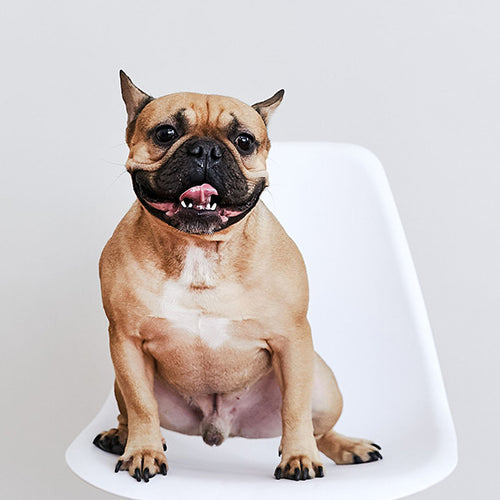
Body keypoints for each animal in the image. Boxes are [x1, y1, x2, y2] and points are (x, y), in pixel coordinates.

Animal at [93, 71, 382, 482]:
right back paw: (122, 436)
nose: (205, 150)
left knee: (318, 428)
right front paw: (143, 451)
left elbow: (295, 407)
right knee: (128, 411)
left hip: (326, 387)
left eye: (244, 141)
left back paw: (345, 447)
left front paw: (298, 457)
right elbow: (141, 404)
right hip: (120, 381)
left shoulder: (292, 339)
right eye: (165, 133)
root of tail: (219, 426)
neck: (200, 248)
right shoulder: (126, 342)